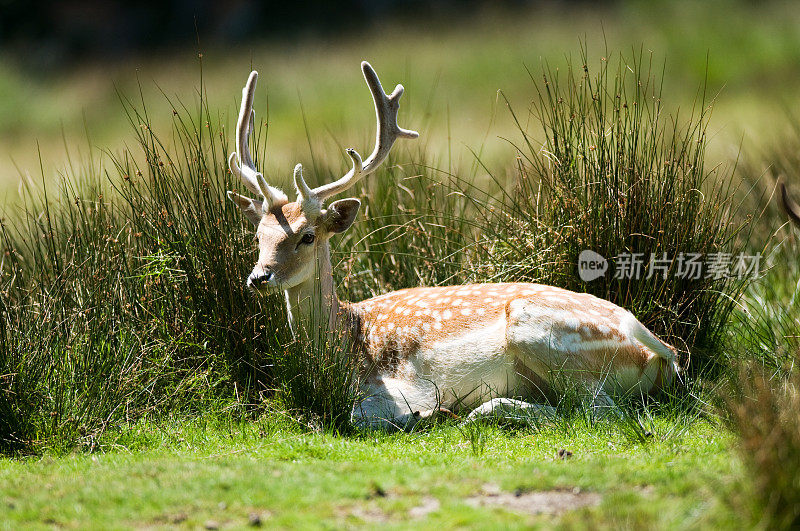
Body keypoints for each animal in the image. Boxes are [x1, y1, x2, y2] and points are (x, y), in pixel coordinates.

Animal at [227, 60, 680, 430]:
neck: (347, 333)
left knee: (600, 412)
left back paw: (467, 412)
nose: (258, 277)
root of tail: (665, 357)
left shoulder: (402, 385)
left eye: (307, 236)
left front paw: (422, 414)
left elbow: (357, 416)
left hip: (542, 332)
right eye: (258, 235)